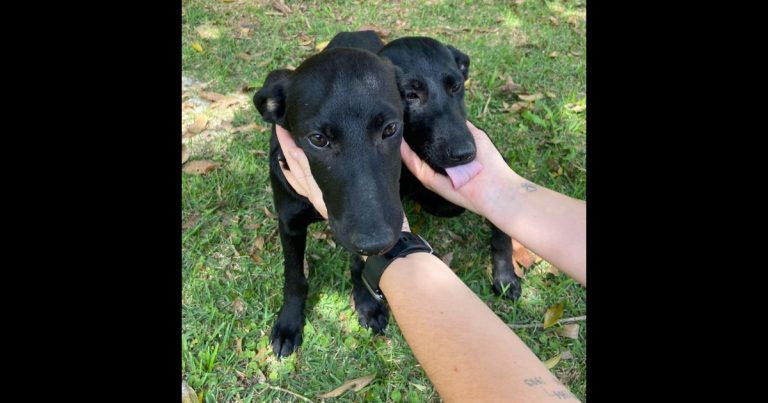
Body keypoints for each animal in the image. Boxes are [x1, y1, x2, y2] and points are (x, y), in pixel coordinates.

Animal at [254, 32, 408, 360]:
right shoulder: (289, 222)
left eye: (390, 128)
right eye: (318, 139)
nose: (378, 243)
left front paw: (366, 303)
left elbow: (358, 264)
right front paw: (289, 322)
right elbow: (294, 276)